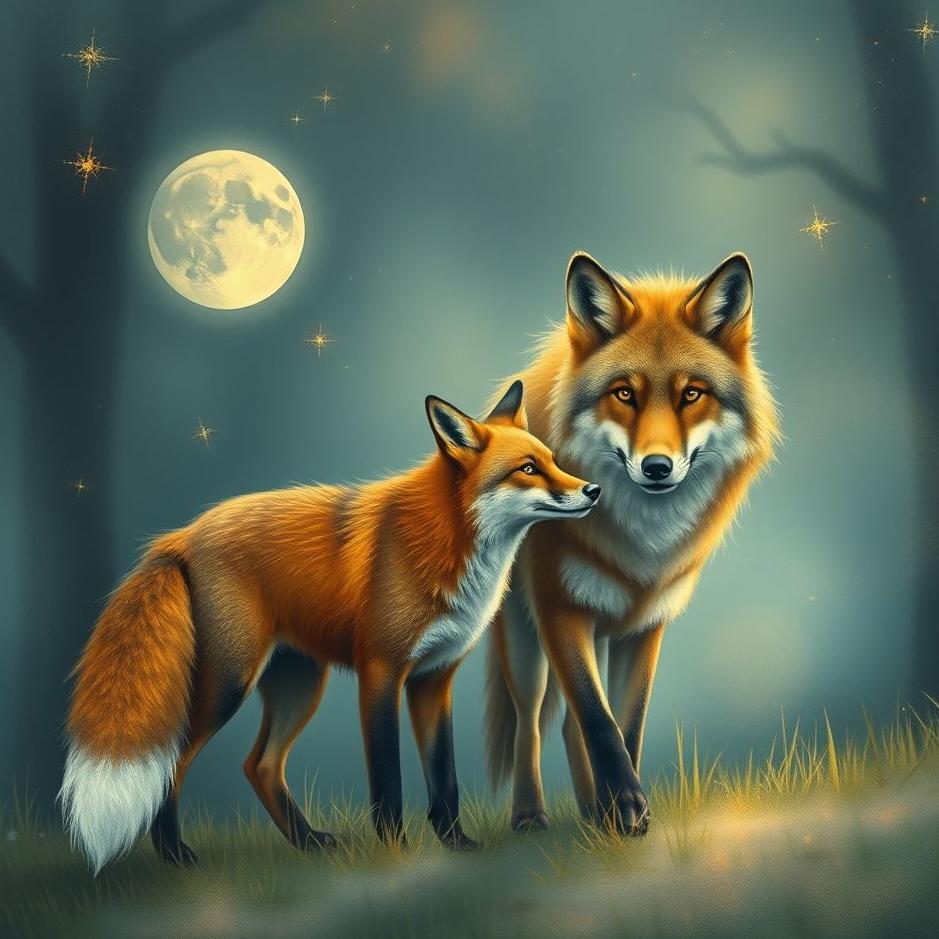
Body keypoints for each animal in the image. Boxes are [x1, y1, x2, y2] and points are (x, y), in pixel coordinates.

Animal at [60, 381, 601, 873]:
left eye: (552, 460)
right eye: (527, 469)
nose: (592, 490)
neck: (447, 539)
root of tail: (182, 534)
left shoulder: (433, 679)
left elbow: (444, 778)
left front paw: (457, 844)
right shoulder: (380, 671)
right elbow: (388, 779)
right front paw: (395, 854)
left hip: (300, 685)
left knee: (260, 765)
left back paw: (307, 842)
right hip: (229, 684)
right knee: (174, 766)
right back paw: (175, 854)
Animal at [484, 252, 779, 835]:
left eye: (692, 394)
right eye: (625, 393)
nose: (657, 466)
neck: (641, 546)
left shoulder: (644, 626)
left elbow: (627, 725)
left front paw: (621, 808)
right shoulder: (560, 611)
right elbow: (599, 722)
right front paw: (623, 805)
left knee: (567, 726)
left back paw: (590, 812)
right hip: (526, 646)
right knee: (534, 723)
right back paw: (531, 814)